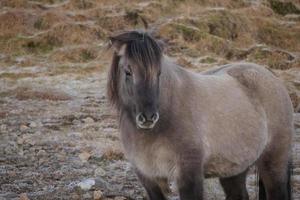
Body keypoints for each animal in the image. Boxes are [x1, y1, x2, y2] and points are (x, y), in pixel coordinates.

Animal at [107, 30, 292, 200]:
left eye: (158, 73)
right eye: (128, 72)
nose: (148, 117)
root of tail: (272, 77)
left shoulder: (189, 175)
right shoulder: (149, 179)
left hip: (273, 163)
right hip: (234, 169)